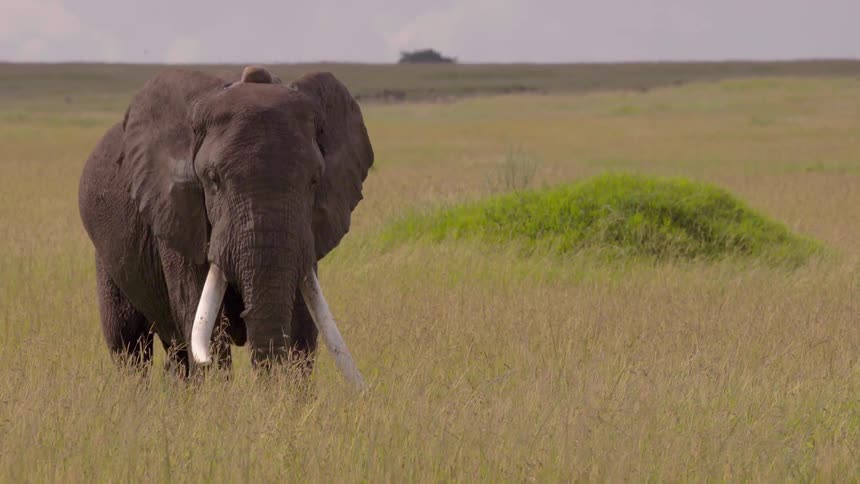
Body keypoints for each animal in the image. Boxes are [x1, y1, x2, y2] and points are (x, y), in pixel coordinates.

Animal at [78, 65, 372, 388]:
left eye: (315, 180)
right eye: (212, 179)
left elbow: (303, 323)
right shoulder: (177, 213)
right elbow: (202, 316)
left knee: (174, 352)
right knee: (129, 343)